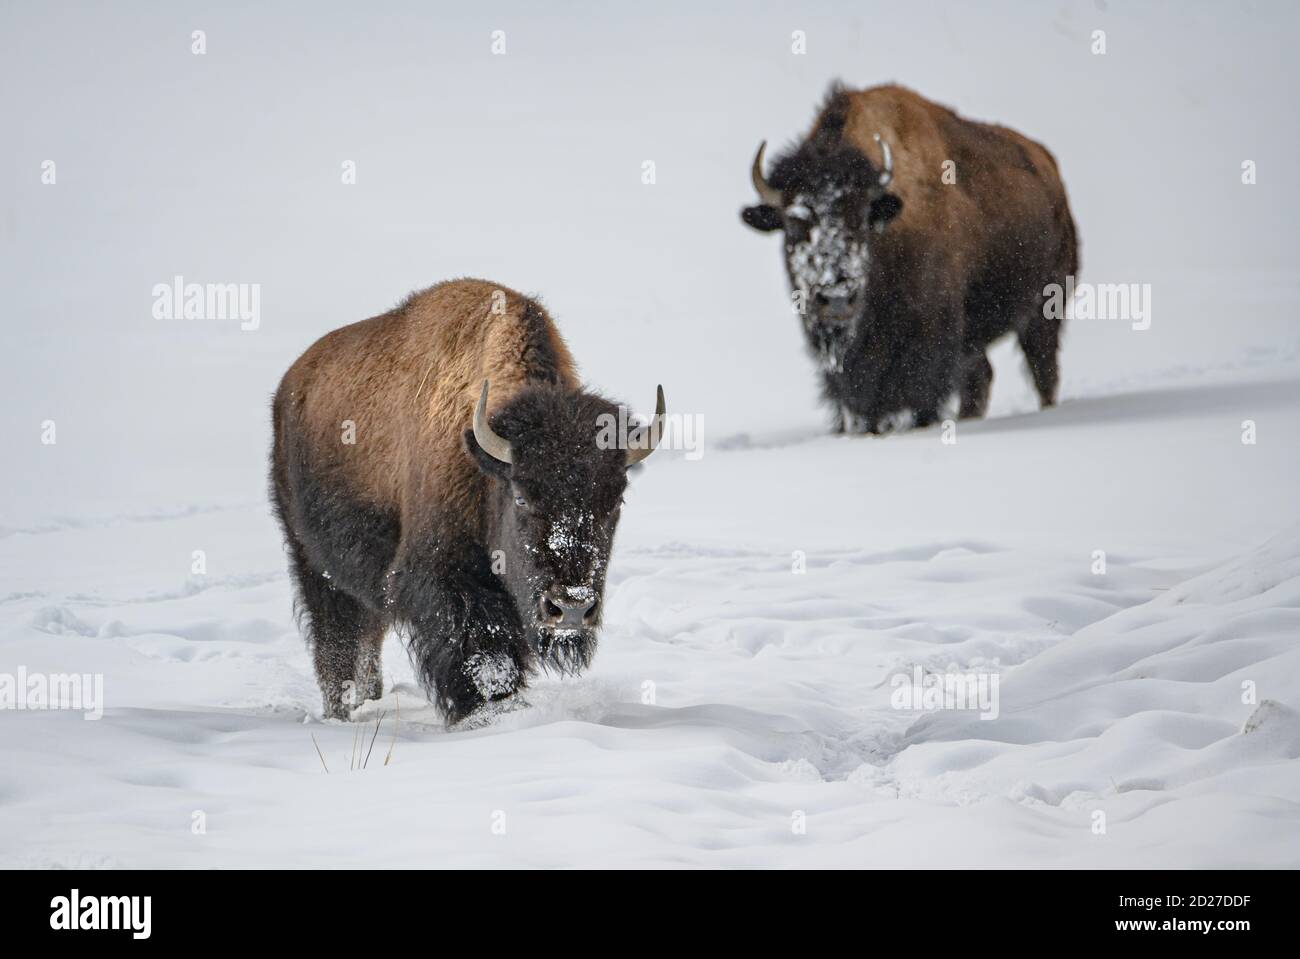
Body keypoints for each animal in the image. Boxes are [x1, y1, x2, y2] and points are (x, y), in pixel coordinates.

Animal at [270, 280, 665, 722]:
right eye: (521, 496)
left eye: (616, 500)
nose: (572, 609)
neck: (484, 464)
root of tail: (290, 386)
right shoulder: (445, 579)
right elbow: (482, 652)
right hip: (314, 565)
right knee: (336, 644)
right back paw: (341, 712)